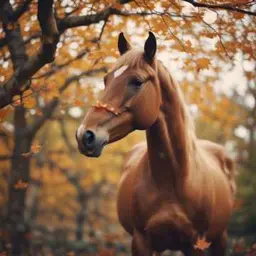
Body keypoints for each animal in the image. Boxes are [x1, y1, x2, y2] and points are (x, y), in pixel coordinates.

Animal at [75, 32, 236, 256]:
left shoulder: (197, 245)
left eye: (137, 81)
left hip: (220, 239)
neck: (176, 180)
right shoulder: (142, 242)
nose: (85, 135)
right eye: (106, 80)